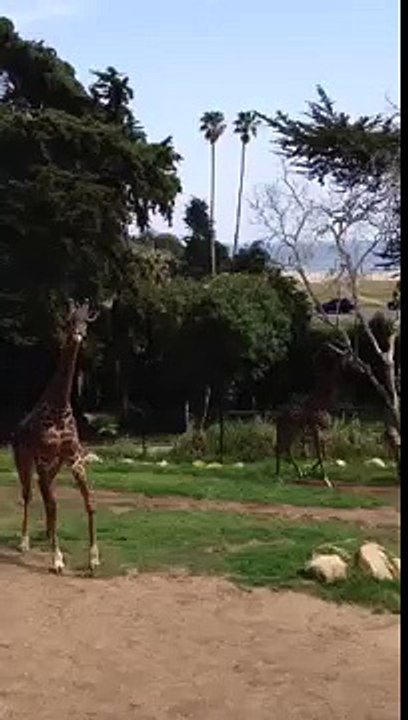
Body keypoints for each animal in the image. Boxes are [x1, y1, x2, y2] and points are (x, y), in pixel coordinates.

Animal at [11, 300, 99, 574]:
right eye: (70, 320)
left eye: (86, 321)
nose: (79, 335)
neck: (60, 406)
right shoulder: (41, 457)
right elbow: (51, 504)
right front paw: (57, 559)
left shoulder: (74, 458)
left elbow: (89, 503)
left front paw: (93, 558)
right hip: (24, 461)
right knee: (29, 495)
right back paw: (24, 541)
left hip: (54, 465)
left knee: (45, 492)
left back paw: (49, 533)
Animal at [275, 347, 348, 488]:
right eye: (338, 355)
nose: (346, 357)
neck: (323, 403)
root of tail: (277, 417)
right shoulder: (315, 428)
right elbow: (319, 453)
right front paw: (326, 480)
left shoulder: (323, 430)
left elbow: (323, 454)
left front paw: (309, 473)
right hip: (288, 431)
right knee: (280, 448)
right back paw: (279, 477)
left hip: (294, 431)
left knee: (286, 448)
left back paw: (297, 473)